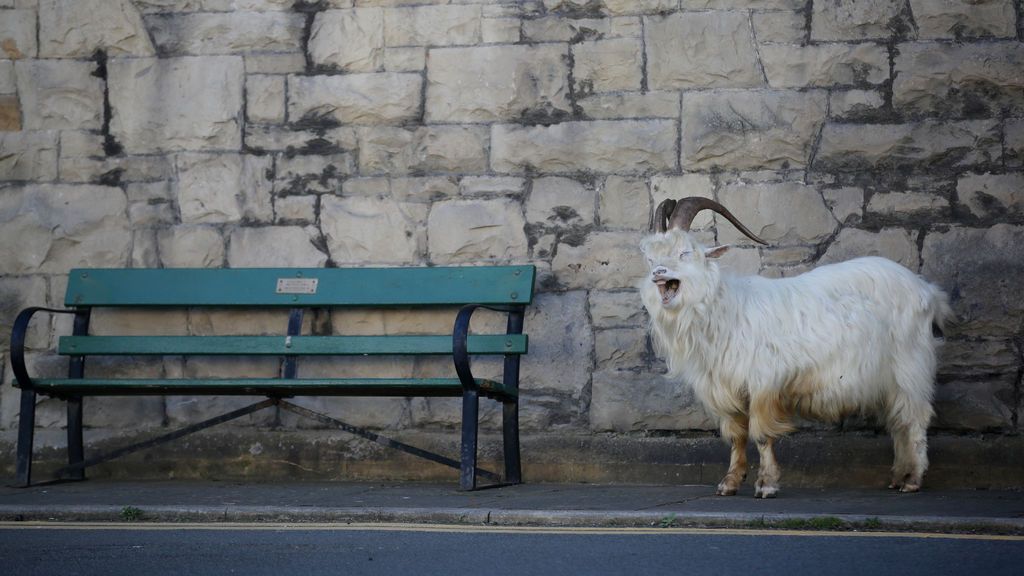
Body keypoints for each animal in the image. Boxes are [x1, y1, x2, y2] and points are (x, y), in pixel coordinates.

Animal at [638, 195, 950, 494]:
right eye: (650, 258)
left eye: (685, 252)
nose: (658, 273)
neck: (723, 310)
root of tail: (927, 291)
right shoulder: (725, 390)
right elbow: (737, 436)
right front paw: (729, 482)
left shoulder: (762, 382)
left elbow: (761, 435)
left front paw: (766, 484)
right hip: (889, 378)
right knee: (899, 422)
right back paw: (898, 477)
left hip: (910, 365)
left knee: (915, 419)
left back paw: (912, 480)